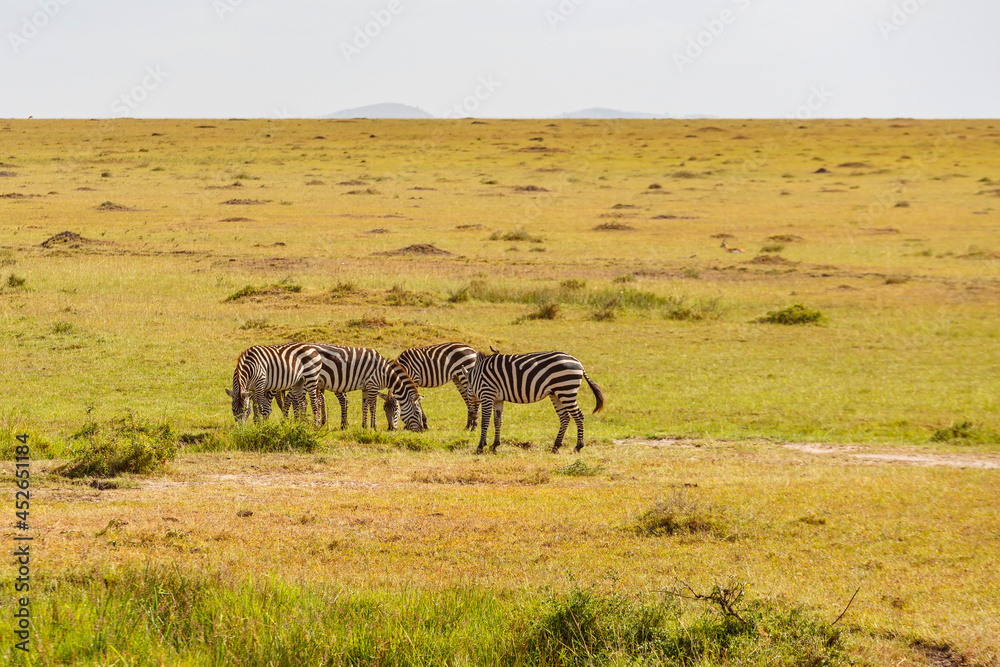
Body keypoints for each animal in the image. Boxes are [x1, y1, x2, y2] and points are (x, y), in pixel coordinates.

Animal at [467, 350, 605, 453]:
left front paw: (481, 446)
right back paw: (556, 446)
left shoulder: (487, 394)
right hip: (557, 393)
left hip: (566, 390)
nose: (472, 416)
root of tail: (579, 363)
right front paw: (495, 445)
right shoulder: (498, 399)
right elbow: (497, 421)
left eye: (467, 396)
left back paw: (578, 446)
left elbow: (485, 421)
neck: (475, 377)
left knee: (579, 416)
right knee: (565, 417)